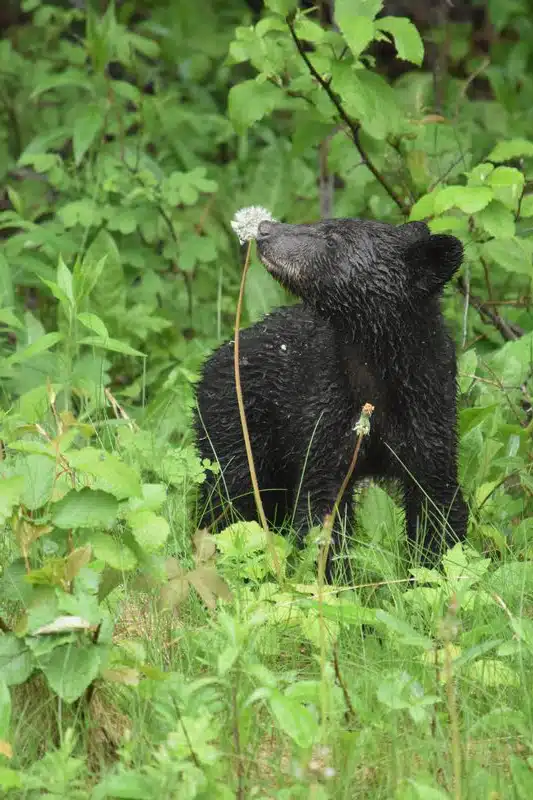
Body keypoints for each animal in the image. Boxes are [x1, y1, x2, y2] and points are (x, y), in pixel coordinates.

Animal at [194, 216, 468, 580]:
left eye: (332, 239)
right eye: (319, 223)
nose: (265, 228)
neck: (375, 366)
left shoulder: (430, 406)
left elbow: (437, 501)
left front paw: (434, 569)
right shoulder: (324, 404)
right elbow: (321, 505)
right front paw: (332, 579)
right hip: (234, 423)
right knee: (227, 495)